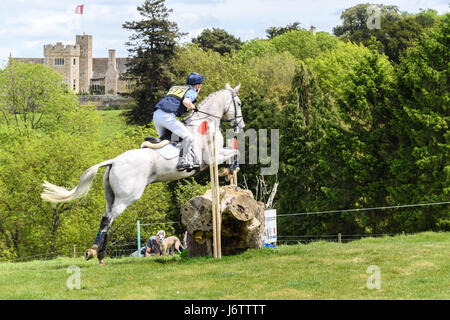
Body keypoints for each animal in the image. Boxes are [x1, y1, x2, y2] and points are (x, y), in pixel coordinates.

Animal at [41, 84, 246, 264]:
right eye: (239, 103)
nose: (241, 126)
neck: (204, 124)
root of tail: (113, 161)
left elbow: (234, 152)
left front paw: (229, 173)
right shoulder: (211, 158)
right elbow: (235, 152)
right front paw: (230, 170)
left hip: (111, 196)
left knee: (106, 217)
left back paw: (100, 255)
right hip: (128, 196)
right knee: (108, 218)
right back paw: (92, 252)